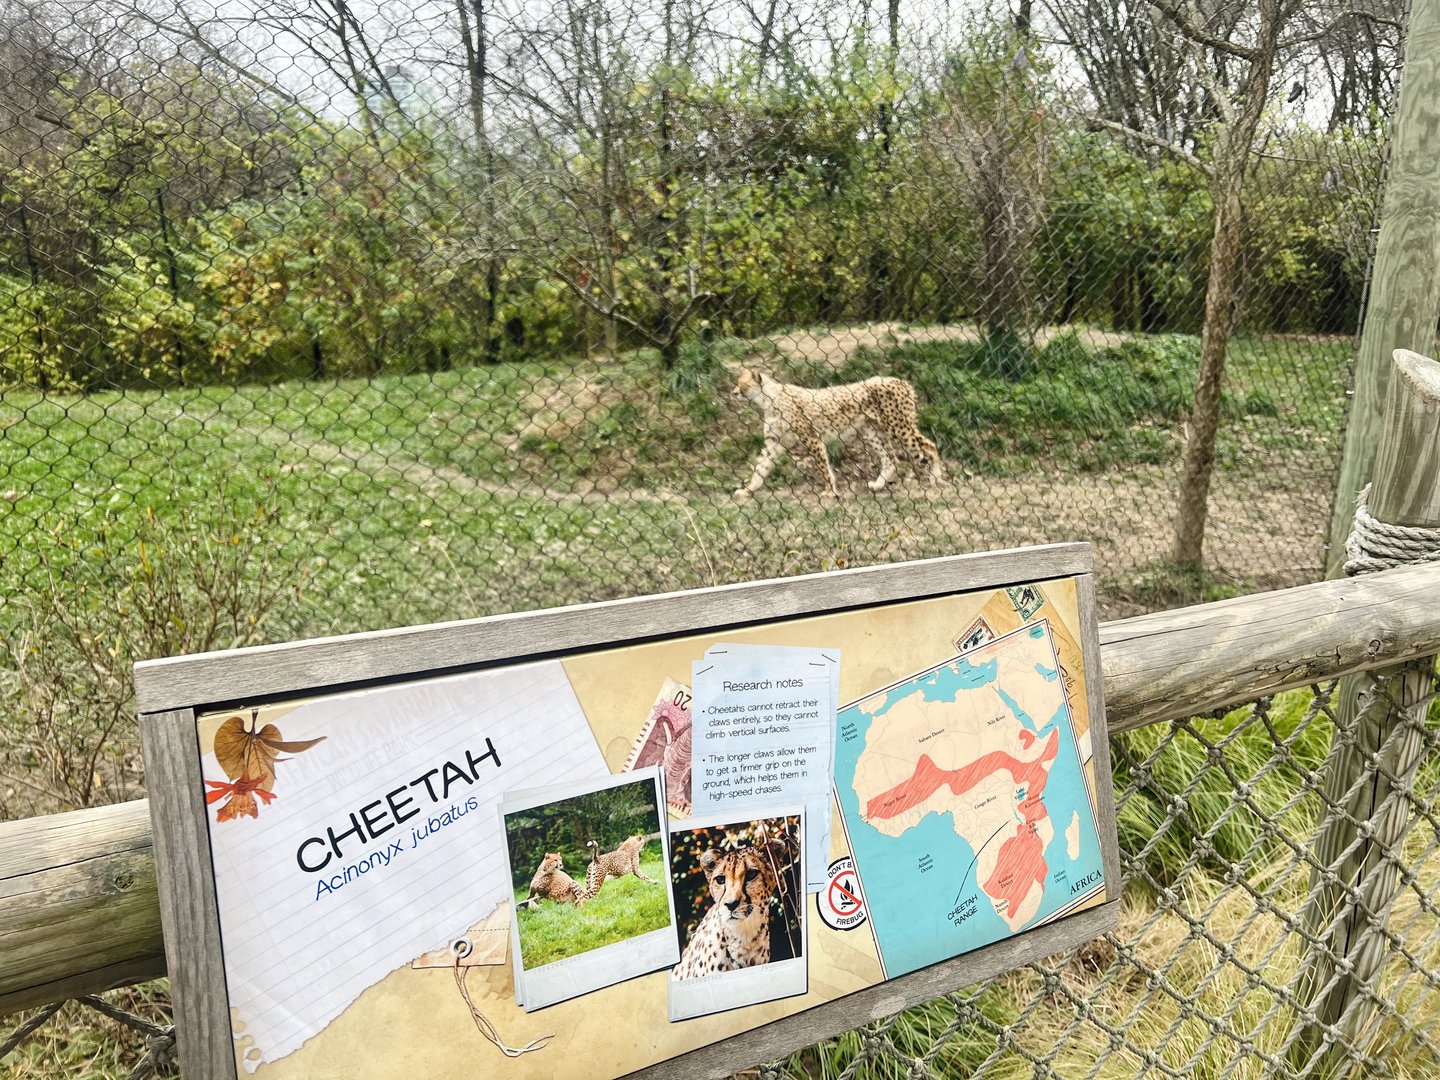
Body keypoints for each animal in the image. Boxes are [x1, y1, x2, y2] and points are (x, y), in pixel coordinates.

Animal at [731, 366, 943, 499]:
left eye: (743, 384)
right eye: (737, 382)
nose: (733, 392)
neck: (768, 400)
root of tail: (900, 380)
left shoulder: (812, 438)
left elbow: (823, 467)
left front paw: (829, 492)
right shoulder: (775, 443)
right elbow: (760, 468)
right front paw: (748, 490)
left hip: (898, 427)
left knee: (930, 446)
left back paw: (936, 478)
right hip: (871, 431)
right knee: (891, 459)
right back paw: (878, 485)